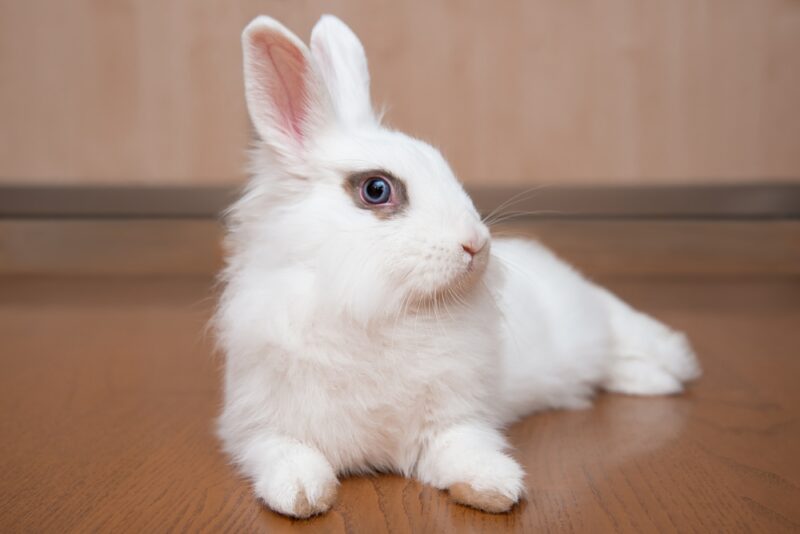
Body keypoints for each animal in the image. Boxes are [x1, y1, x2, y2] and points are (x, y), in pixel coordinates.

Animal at [214, 14, 701, 518]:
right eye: (376, 189)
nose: (476, 244)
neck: (381, 311)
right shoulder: (257, 426)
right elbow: (284, 453)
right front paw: (302, 494)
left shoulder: (455, 418)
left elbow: (465, 448)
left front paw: (494, 487)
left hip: (591, 325)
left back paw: (668, 373)